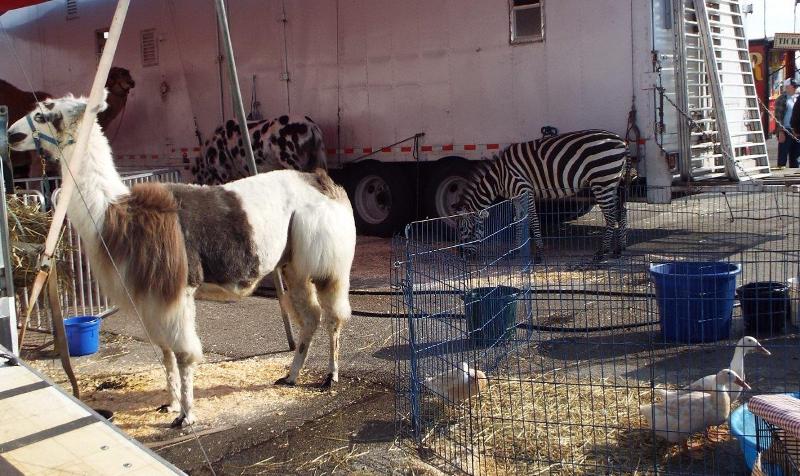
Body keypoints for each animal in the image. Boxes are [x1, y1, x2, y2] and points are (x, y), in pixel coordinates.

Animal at [453, 129, 629, 261]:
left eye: (463, 230)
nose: (461, 257)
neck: (499, 177)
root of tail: (622, 141)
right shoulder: (516, 197)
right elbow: (518, 221)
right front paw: (516, 250)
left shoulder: (525, 190)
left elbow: (533, 219)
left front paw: (538, 253)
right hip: (611, 182)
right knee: (620, 211)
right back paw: (619, 249)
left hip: (602, 180)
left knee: (611, 215)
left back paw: (602, 252)